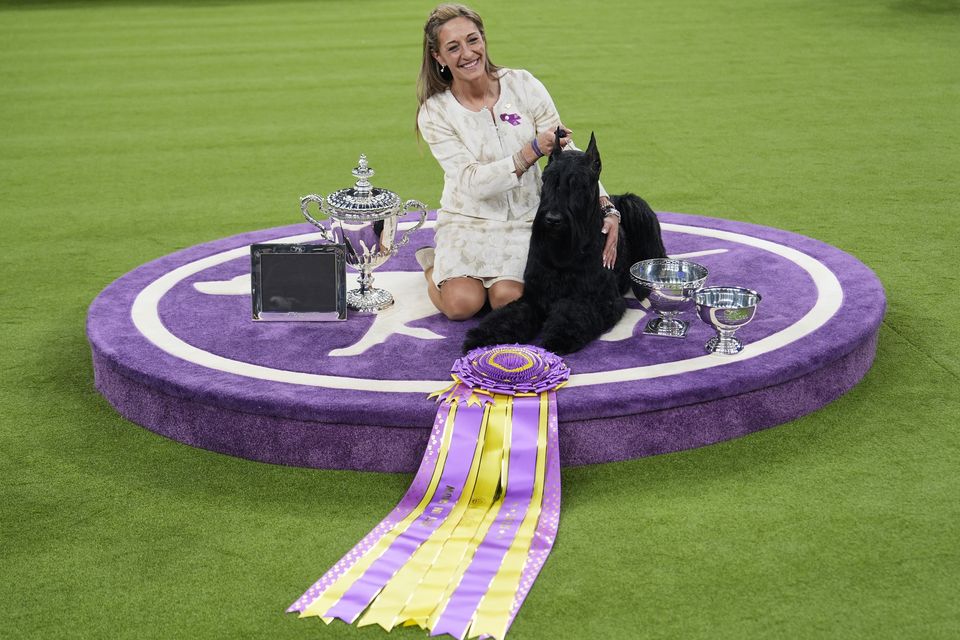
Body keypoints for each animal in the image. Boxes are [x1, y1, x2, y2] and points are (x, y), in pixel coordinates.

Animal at [464, 132, 668, 356]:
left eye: (579, 184)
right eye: (547, 179)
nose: (552, 219)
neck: (564, 251)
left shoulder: (597, 299)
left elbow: (572, 314)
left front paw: (559, 336)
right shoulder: (534, 296)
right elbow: (509, 316)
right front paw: (483, 335)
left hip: (636, 206)